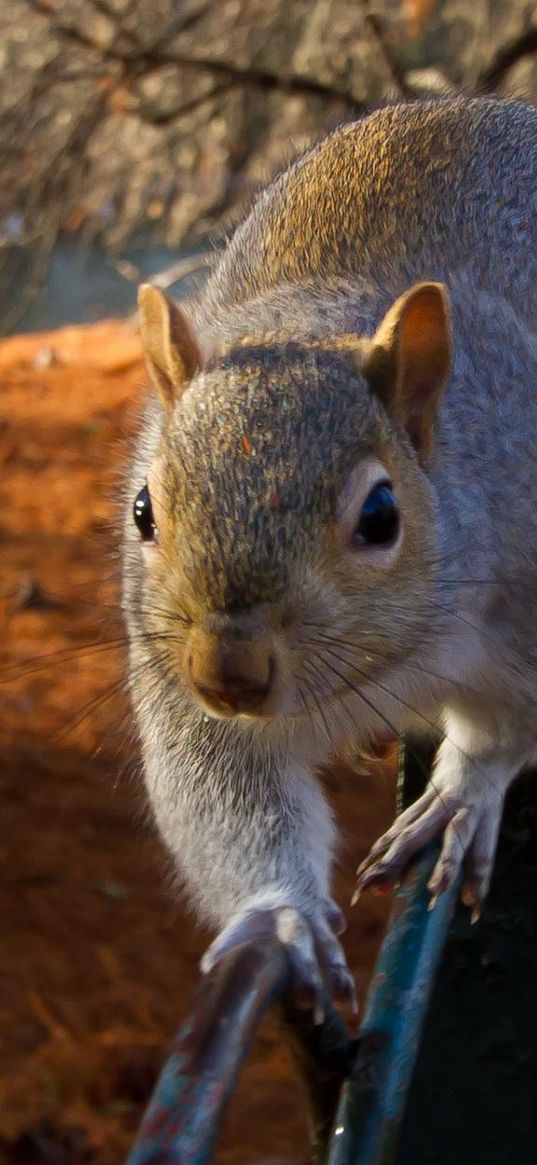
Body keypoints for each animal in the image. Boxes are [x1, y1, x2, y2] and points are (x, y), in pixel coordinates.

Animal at [121, 100, 535, 1011]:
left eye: (380, 516)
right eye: (142, 511)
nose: (228, 673)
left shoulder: (527, 600)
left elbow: (504, 730)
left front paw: (460, 795)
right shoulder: (179, 688)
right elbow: (224, 793)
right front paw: (280, 917)